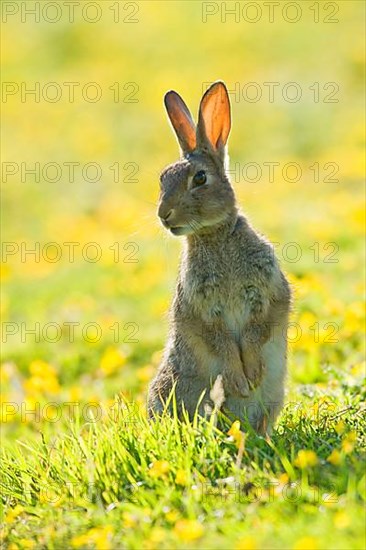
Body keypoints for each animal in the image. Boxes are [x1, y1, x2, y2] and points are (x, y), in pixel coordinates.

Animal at [147, 82, 290, 436]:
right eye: (162, 179)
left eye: (199, 179)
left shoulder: (266, 294)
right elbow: (221, 342)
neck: (215, 236)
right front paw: (239, 380)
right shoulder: (202, 308)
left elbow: (255, 332)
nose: (164, 215)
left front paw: (252, 373)